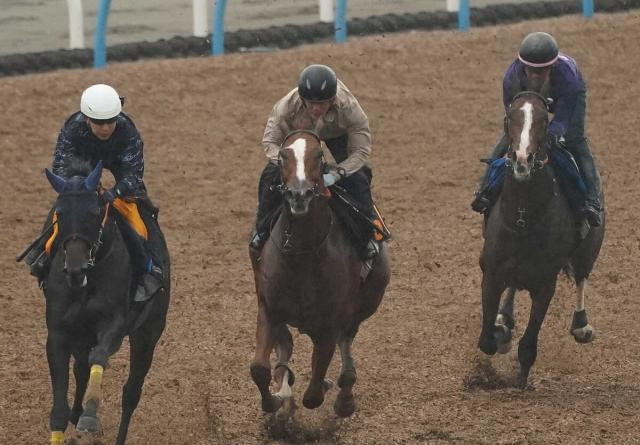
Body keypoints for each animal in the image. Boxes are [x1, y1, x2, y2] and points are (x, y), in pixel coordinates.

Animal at [41, 160, 171, 444]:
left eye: (95, 212)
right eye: (60, 214)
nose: (75, 269)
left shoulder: (115, 326)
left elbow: (99, 356)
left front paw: (89, 417)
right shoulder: (58, 334)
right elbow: (58, 410)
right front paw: (73, 416)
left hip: (149, 331)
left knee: (131, 393)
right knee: (80, 369)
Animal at [249, 128, 390, 416]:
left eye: (318, 155)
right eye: (283, 156)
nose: (298, 195)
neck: (301, 257)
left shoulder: (329, 325)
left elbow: (314, 393)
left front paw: (324, 388)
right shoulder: (268, 308)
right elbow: (259, 368)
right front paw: (276, 400)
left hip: (360, 309)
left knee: (346, 348)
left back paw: (344, 397)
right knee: (286, 343)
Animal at [480, 92, 604, 386]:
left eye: (544, 121)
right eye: (510, 117)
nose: (523, 159)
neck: (523, 218)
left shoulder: (546, 284)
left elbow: (527, 346)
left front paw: (521, 382)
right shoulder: (491, 274)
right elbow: (487, 340)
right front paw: (501, 331)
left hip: (590, 247)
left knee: (581, 275)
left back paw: (581, 325)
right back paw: (505, 318)